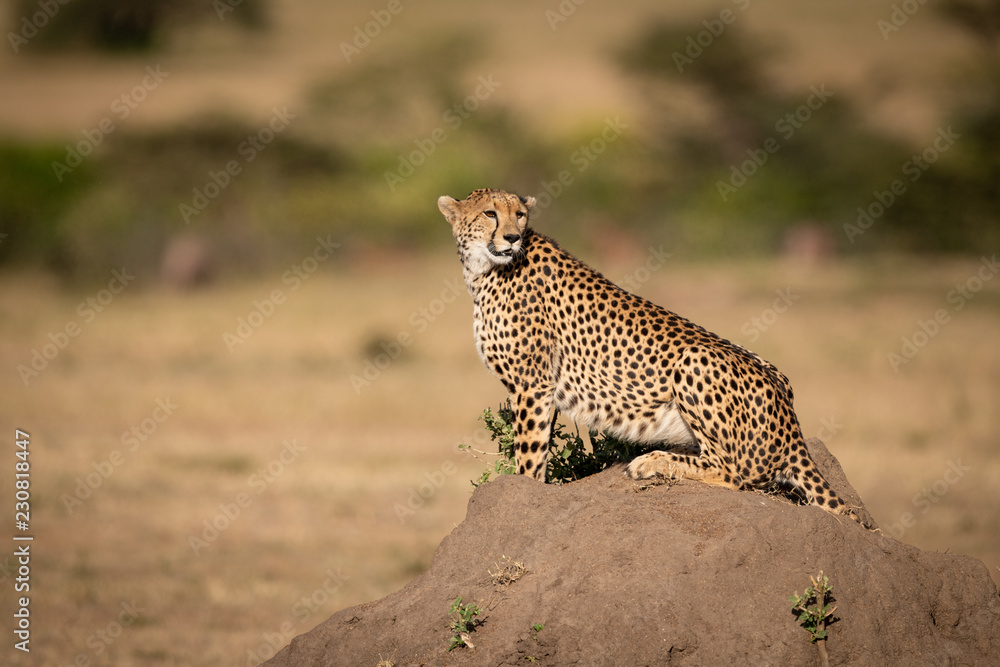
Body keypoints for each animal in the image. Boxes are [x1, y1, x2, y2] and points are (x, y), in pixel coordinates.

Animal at [438, 187, 855, 520]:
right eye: (490, 213)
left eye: (519, 214)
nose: (511, 237)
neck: (485, 268)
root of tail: (792, 422)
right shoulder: (537, 388)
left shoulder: (532, 385)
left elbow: (529, 455)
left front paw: (522, 490)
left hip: (695, 360)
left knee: (735, 471)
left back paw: (651, 462)